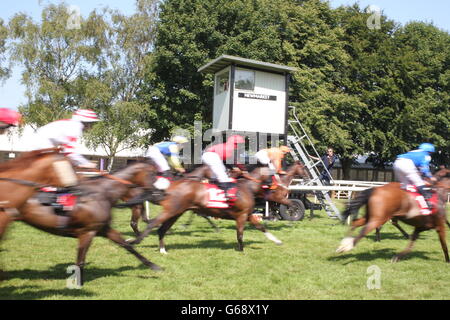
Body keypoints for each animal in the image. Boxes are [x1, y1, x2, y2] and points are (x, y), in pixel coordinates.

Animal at [2, 161, 162, 286]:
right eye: (152, 174)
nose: (158, 194)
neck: (101, 194)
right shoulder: (87, 232)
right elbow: (80, 260)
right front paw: (78, 283)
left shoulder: (103, 229)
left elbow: (127, 245)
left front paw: (153, 265)